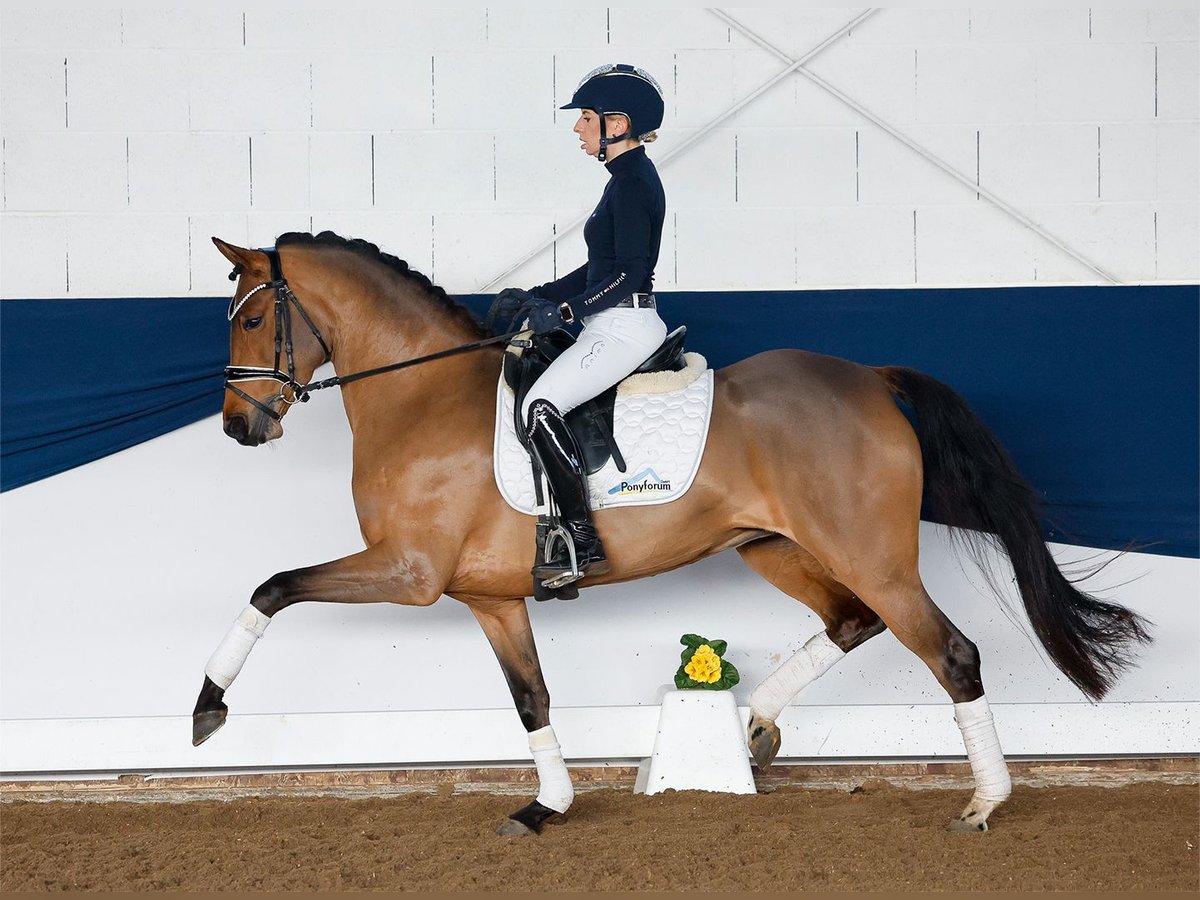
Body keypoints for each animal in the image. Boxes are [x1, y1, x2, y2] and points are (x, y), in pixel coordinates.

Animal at [192, 234, 1147, 840]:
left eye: (250, 319)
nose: (240, 428)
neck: (419, 396)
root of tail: (870, 380)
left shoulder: (408, 573)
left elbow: (272, 585)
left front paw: (208, 710)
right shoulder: (488, 597)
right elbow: (532, 699)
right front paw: (548, 807)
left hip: (870, 554)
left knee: (949, 652)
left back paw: (984, 805)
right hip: (774, 547)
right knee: (852, 622)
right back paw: (753, 728)